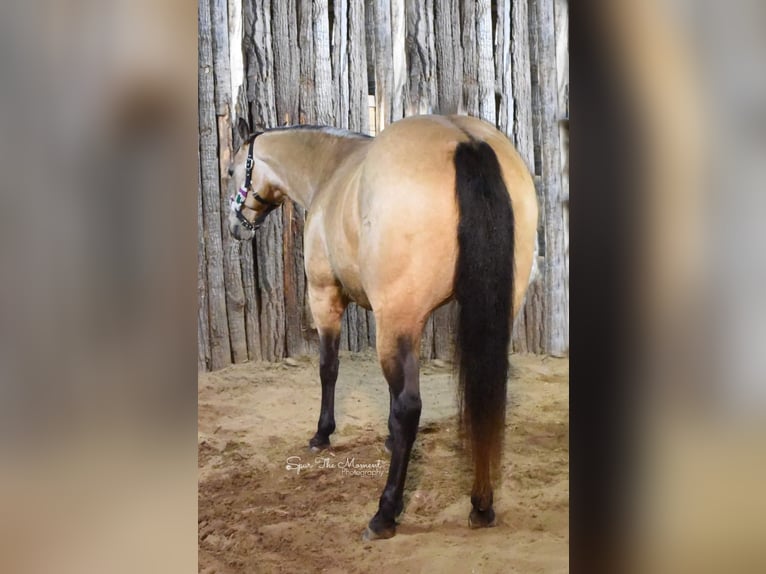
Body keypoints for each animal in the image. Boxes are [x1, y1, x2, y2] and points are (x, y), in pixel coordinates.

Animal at [226, 115, 540, 544]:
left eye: (231, 170)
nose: (236, 227)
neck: (330, 168)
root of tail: (467, 142)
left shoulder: (325, 296)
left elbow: (329, 369)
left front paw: (322, 434)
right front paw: (389, 443)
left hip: (394, 318)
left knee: (409, 407)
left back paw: (385, 514)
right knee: (486, 399)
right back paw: (481, 505)